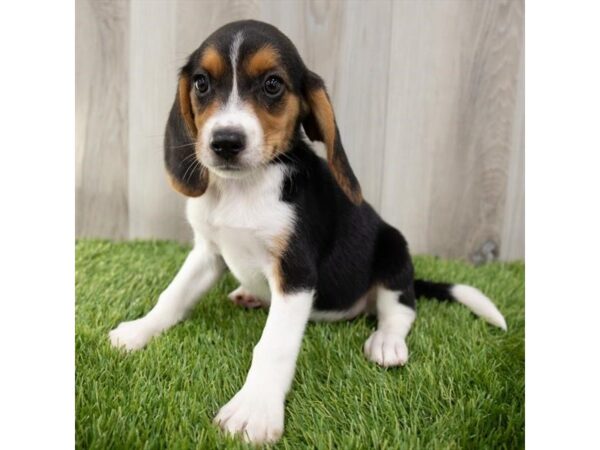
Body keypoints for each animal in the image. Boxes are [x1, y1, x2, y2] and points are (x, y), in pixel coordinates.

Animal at [109, 20, 506, 442]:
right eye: (201, 83)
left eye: (272, 84)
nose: (225, 142)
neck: (244, 187)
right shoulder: (208, 253)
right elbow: (172, 296)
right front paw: (138, 331)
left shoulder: (296, 273)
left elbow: (274, 345)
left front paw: (254, 409)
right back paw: (249, 295)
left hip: (394, 249)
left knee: (400, 309)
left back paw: (386, 342)